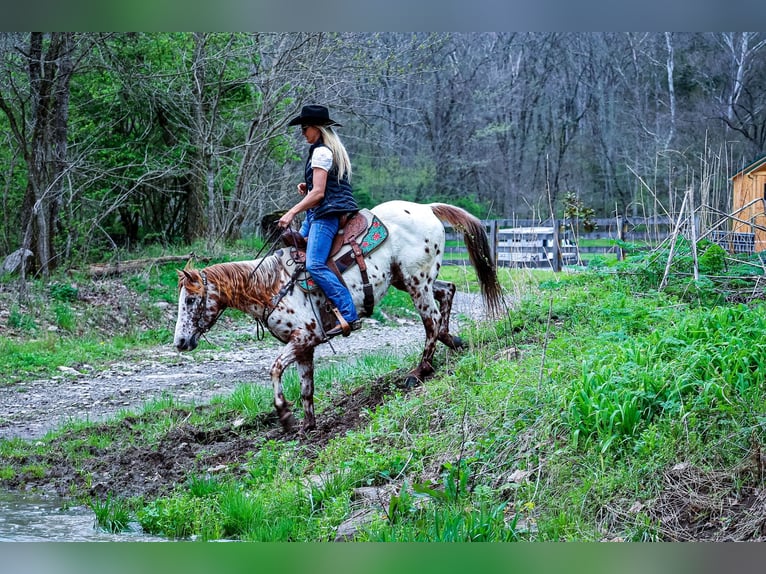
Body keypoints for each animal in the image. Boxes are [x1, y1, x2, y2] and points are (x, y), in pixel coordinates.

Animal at [177, 200, 508, 434]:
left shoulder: (305, 337)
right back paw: (454, 340)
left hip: (417, 283)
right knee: (447, 293)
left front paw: (285, 415)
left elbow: (275, 369)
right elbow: (306, 388)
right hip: (410, 281)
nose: (180, 342)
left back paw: (419, 371)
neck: (272, 285)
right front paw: (307, 427)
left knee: (431, 322)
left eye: (191, 300)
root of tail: (426, 208)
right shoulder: (305, 347)